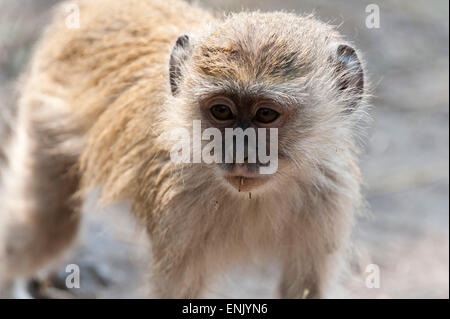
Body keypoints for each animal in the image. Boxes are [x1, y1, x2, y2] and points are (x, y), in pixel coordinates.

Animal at [0, 0, 370, 300]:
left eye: (266, 115)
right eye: (221, 111)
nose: (240, 151)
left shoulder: (330, 194)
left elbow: (306, 285)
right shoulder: (176, 202)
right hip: (46, 116)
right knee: (46, 230)